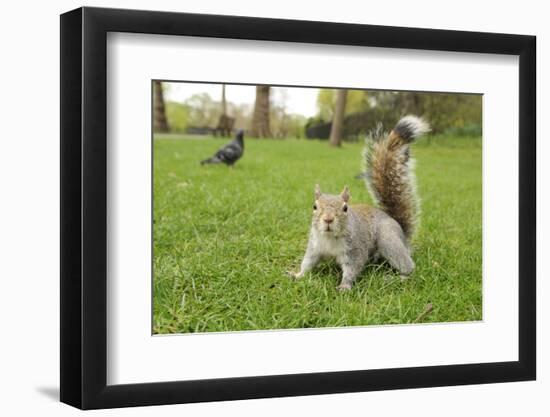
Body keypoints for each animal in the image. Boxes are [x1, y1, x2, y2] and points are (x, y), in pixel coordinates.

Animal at [288, 114, 432, 290]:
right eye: (314, 206)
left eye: (345, 208)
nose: (328, 219)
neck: (330, 238)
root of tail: (402, 232)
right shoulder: (314, 247)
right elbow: (307, 263)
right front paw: (297, 275)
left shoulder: (355, 249)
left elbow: (353, 268)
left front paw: (344, 286)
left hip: (388, 239)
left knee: (407, 265)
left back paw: (399, 277)